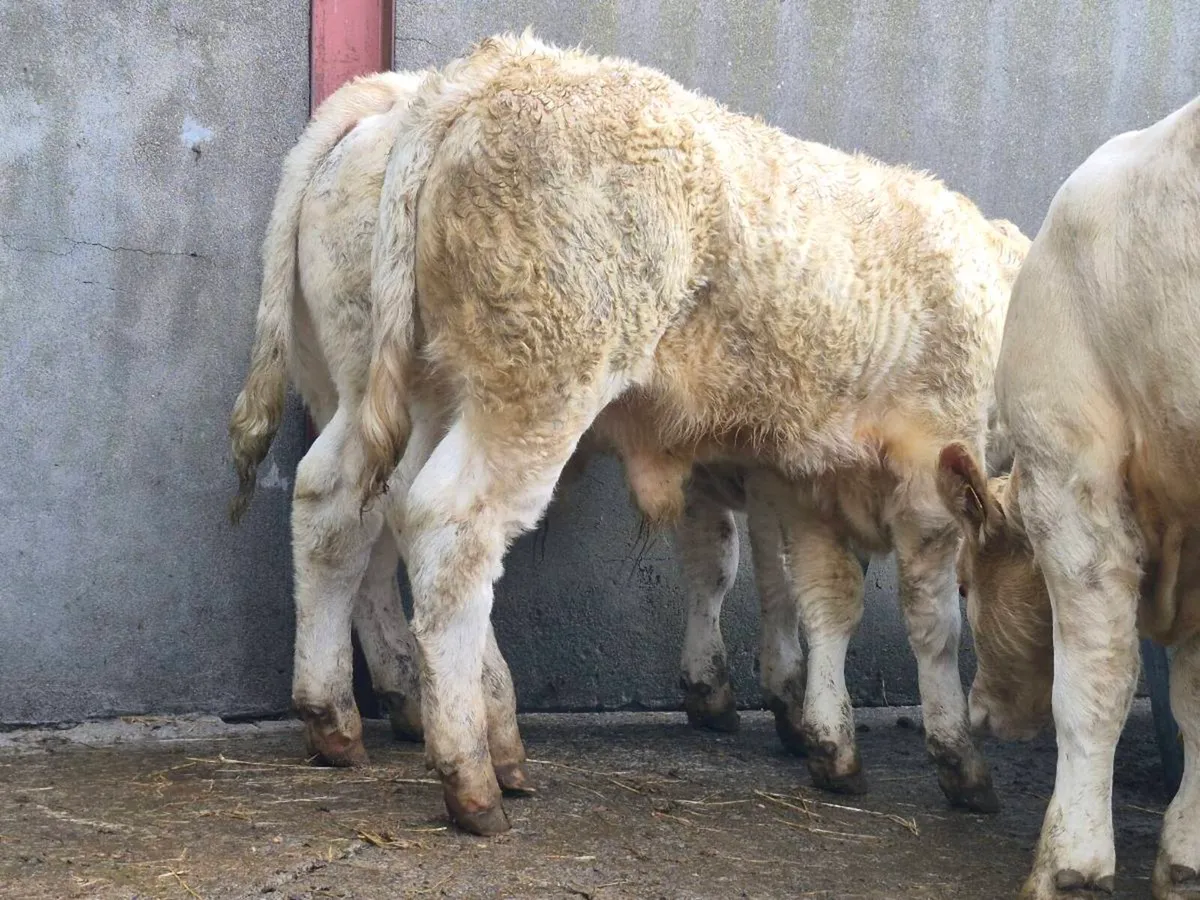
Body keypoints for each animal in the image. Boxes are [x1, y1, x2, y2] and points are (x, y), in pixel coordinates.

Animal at [353, 31, 1021, 835]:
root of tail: (501, 64)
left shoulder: (812, 480)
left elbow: (827, 602)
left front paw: (832, 746)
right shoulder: (930, 473)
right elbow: (932, 623)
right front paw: (959, 760)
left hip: (446, 388)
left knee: (412, 515)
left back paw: (504, 745)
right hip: (537, 386)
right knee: (451, 528)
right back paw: (471, 775)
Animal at [935, 94, 1200, 899]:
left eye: (965, 586)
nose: (980, 711)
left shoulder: (1071, 472)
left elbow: (1095, 680)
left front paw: (1071, 863)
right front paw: (1187, 854)